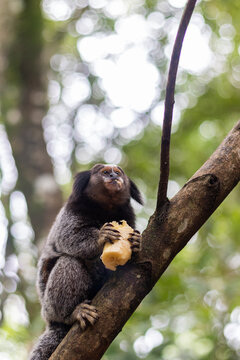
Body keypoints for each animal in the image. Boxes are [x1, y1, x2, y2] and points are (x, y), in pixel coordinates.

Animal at [29, 164, 142, 360]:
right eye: (105, 172)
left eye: (117, 173)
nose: (113, 176)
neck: (105, 208)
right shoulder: (72, 211)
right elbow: (70, 237)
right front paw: (100, 237)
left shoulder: (128, 216)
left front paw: (135, 243)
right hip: (50, 308)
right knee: (69, 261)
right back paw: (72, 313)